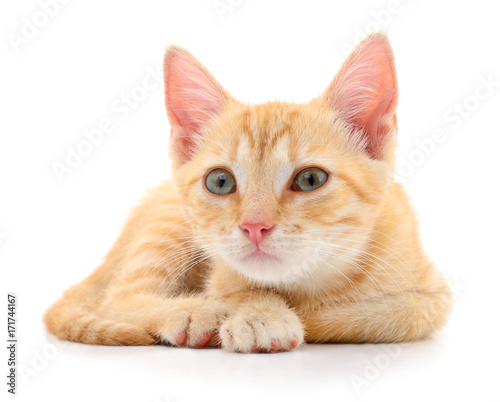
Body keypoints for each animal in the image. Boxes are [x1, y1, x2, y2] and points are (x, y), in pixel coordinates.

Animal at [46, 33, 454, 350]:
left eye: (310, 180)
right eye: (220, 181)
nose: (254, 227)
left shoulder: (431, 299)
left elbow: (379, 315)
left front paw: (281, 314)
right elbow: (235, 289)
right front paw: (256, 312)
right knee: (116, 299)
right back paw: (195, 312)